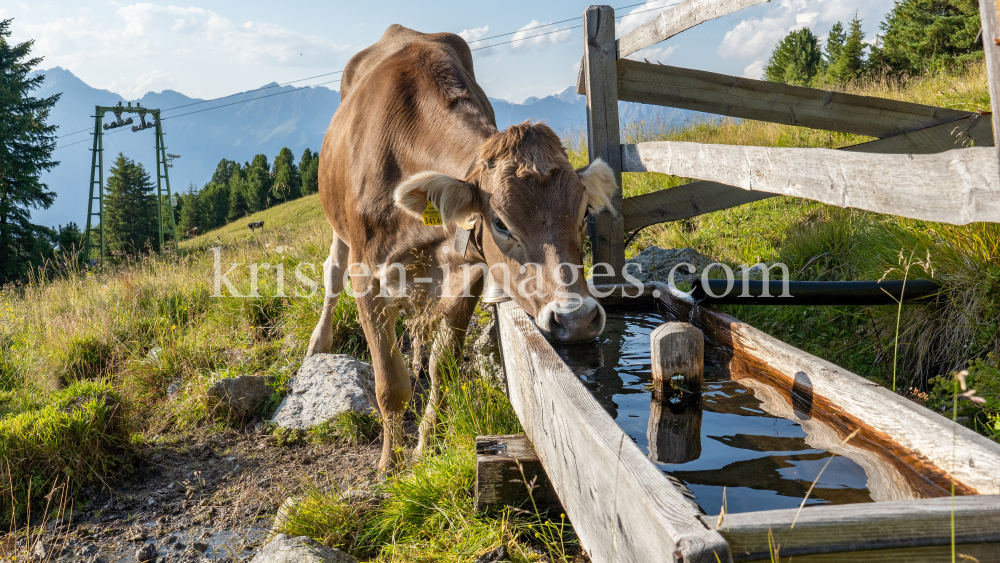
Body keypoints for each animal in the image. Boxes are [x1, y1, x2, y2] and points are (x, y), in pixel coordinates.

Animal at [306, 25, 616, 472]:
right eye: (500, 222)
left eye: (583, 213)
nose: (576, 320)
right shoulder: (368, 278)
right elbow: (389, 384)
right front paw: (390, 463)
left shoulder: (467, 276)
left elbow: (444, 369)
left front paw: (424, 446)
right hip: (340, 231)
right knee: (332, 272)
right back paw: (318, 344)